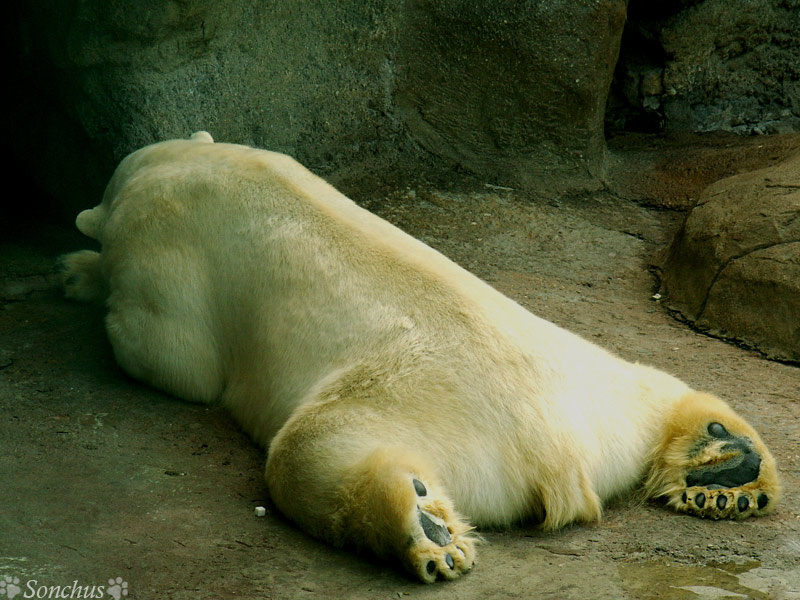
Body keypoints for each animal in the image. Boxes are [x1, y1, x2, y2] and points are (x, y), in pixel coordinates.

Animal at [60, 132, 780, 583]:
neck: (192, 164)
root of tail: (558, 451)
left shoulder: (169, 252)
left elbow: (166, 355)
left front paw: (79, 272)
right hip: (589, 374)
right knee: (656, 388)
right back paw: (727, 463)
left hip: (410, 398)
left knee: (308, 451)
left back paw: (424, 533)